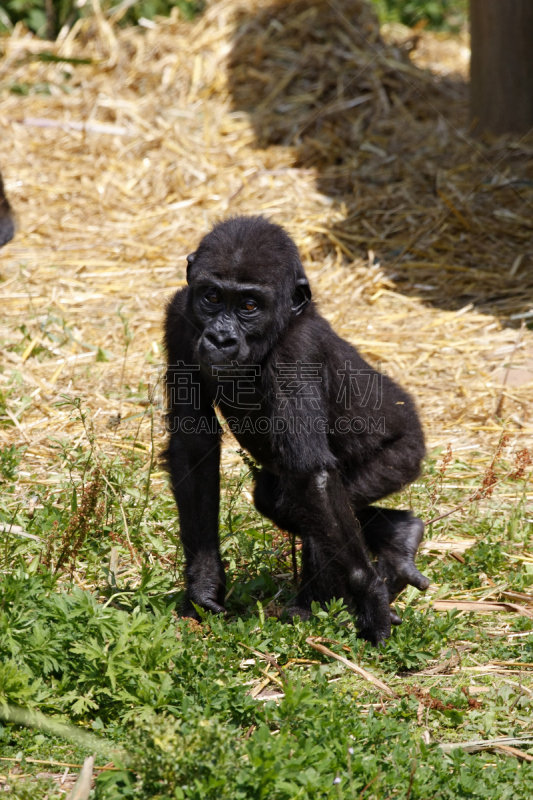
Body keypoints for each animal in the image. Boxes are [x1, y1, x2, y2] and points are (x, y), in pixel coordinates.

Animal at [163, 216, 428, 648]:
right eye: (212, 297)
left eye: (249, 306)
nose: (220, 338)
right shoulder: (179, 316)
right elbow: (194, 445)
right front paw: (203, 584)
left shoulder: (296, 352)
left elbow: (311, 476)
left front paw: (370, 596)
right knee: (282, 503)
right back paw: (398, 538)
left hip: (401, 454)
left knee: (312, 503)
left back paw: (316, 602)